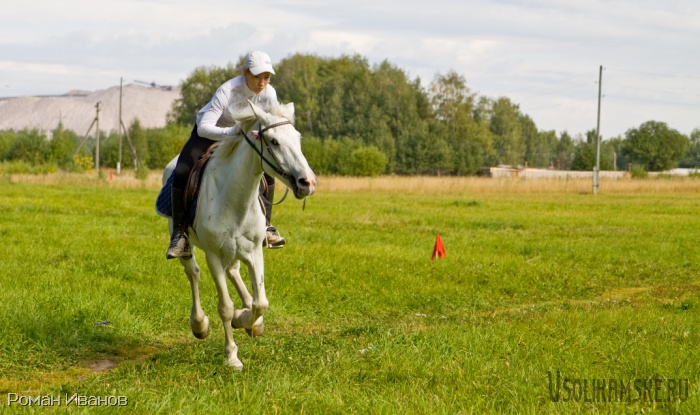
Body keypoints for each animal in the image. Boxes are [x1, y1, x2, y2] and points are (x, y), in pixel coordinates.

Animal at [159, 100, 316, 370]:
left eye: (297, 138)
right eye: (273, 141)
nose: (308, 182)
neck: (233, 195)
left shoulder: (254, 251)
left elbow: (260, 302)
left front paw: (246, 320)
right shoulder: (213, 255)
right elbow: (225, 307)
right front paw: (232, 355)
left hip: (235, 250)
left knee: (233, 271)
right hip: (185, 241)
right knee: (193, 273)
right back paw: (199, 324)